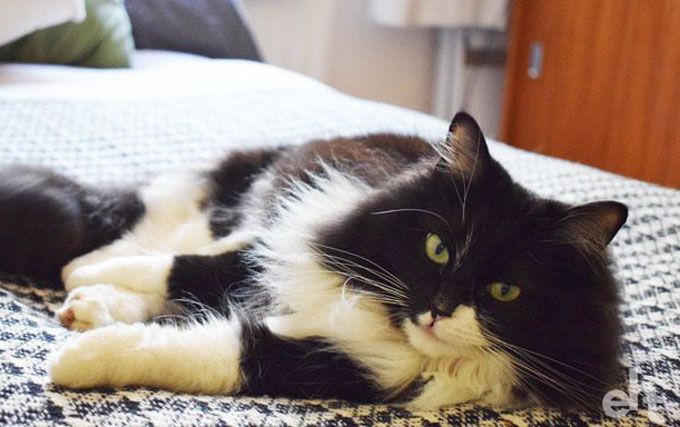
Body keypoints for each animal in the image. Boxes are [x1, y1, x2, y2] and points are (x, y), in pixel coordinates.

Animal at [0, 113, 628, 412]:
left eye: (505, 292)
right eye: (438, 248)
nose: (439, 309)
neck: (380, 314)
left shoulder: (333, 363)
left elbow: (196, 351)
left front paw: (76, 361)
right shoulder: (287, 242)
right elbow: (182, 266)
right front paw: (82, 279)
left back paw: (87, 312)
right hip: (248, 202)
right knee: (168, 235)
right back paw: (86, 286)